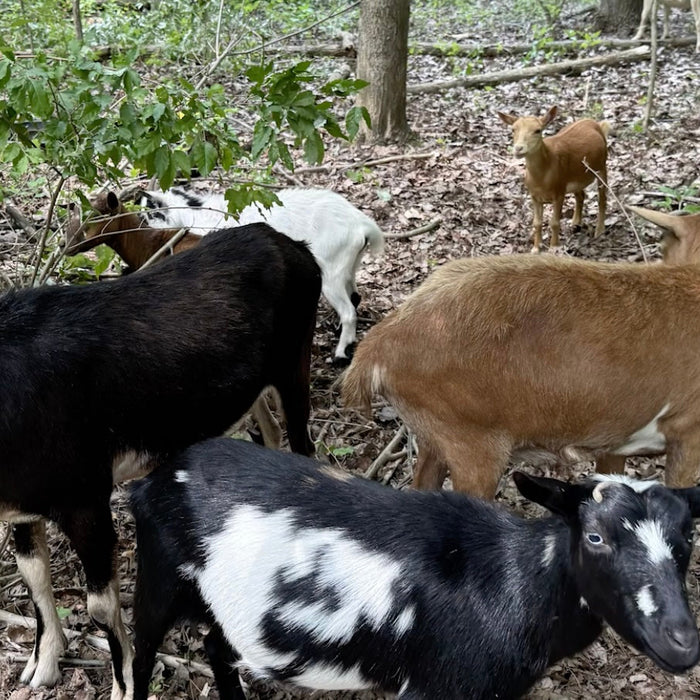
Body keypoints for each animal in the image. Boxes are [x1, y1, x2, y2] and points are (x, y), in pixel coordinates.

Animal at [2, 224, 321, 699]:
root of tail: (289, 245)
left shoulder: (86, 498)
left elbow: (100, 607)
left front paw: (123, 687)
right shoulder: (23, 508)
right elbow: (33, 574)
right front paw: (43, 664)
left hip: (294, 365)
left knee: (302, 443)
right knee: (267, 431)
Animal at [129, 437, 700, 700]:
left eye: (688, 537)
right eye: (595, 536)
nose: (682, 642)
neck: (512, 581)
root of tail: (151, 480)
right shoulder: (435, 687)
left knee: (215, 646)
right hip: (158, 577)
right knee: (139, 653)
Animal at [138, 186, 385, 364]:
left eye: (148, 216)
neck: (195, 214)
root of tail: (363, 225)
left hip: (331, 273)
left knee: (349, 311)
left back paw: (341, 354)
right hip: (347, 265)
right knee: (355, 297)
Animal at [497, 106, 610, 252]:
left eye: (538, 130)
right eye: (513, 129)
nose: (518, 148)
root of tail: (598, 125)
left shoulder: (559, 192)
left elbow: (554, 222)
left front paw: (553, 247)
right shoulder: (534, 195)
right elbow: (537, 223)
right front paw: (536, 249)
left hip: (602, 165)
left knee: (602, 197)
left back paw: (599, 231)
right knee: (580, 194)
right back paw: (575, 223)